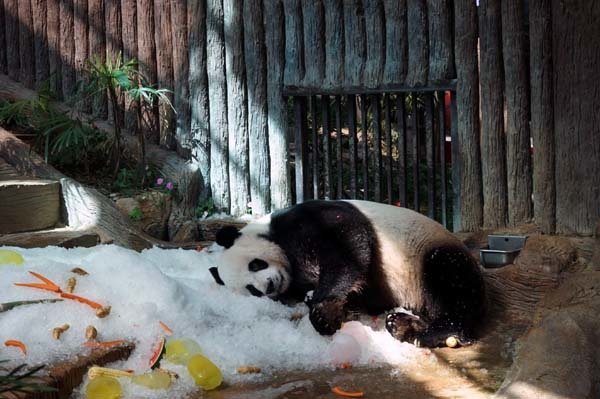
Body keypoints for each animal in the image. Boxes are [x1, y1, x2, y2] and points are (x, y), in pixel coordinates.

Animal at [209, 200, 486, 346]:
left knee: (452, 284)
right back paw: (403, 325)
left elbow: (347, 243)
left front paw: (323, 313)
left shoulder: (305, 220)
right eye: (252, 291)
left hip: (428, 251)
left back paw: (425, 328)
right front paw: (329, 308)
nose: (268, 286)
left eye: (255, 265)